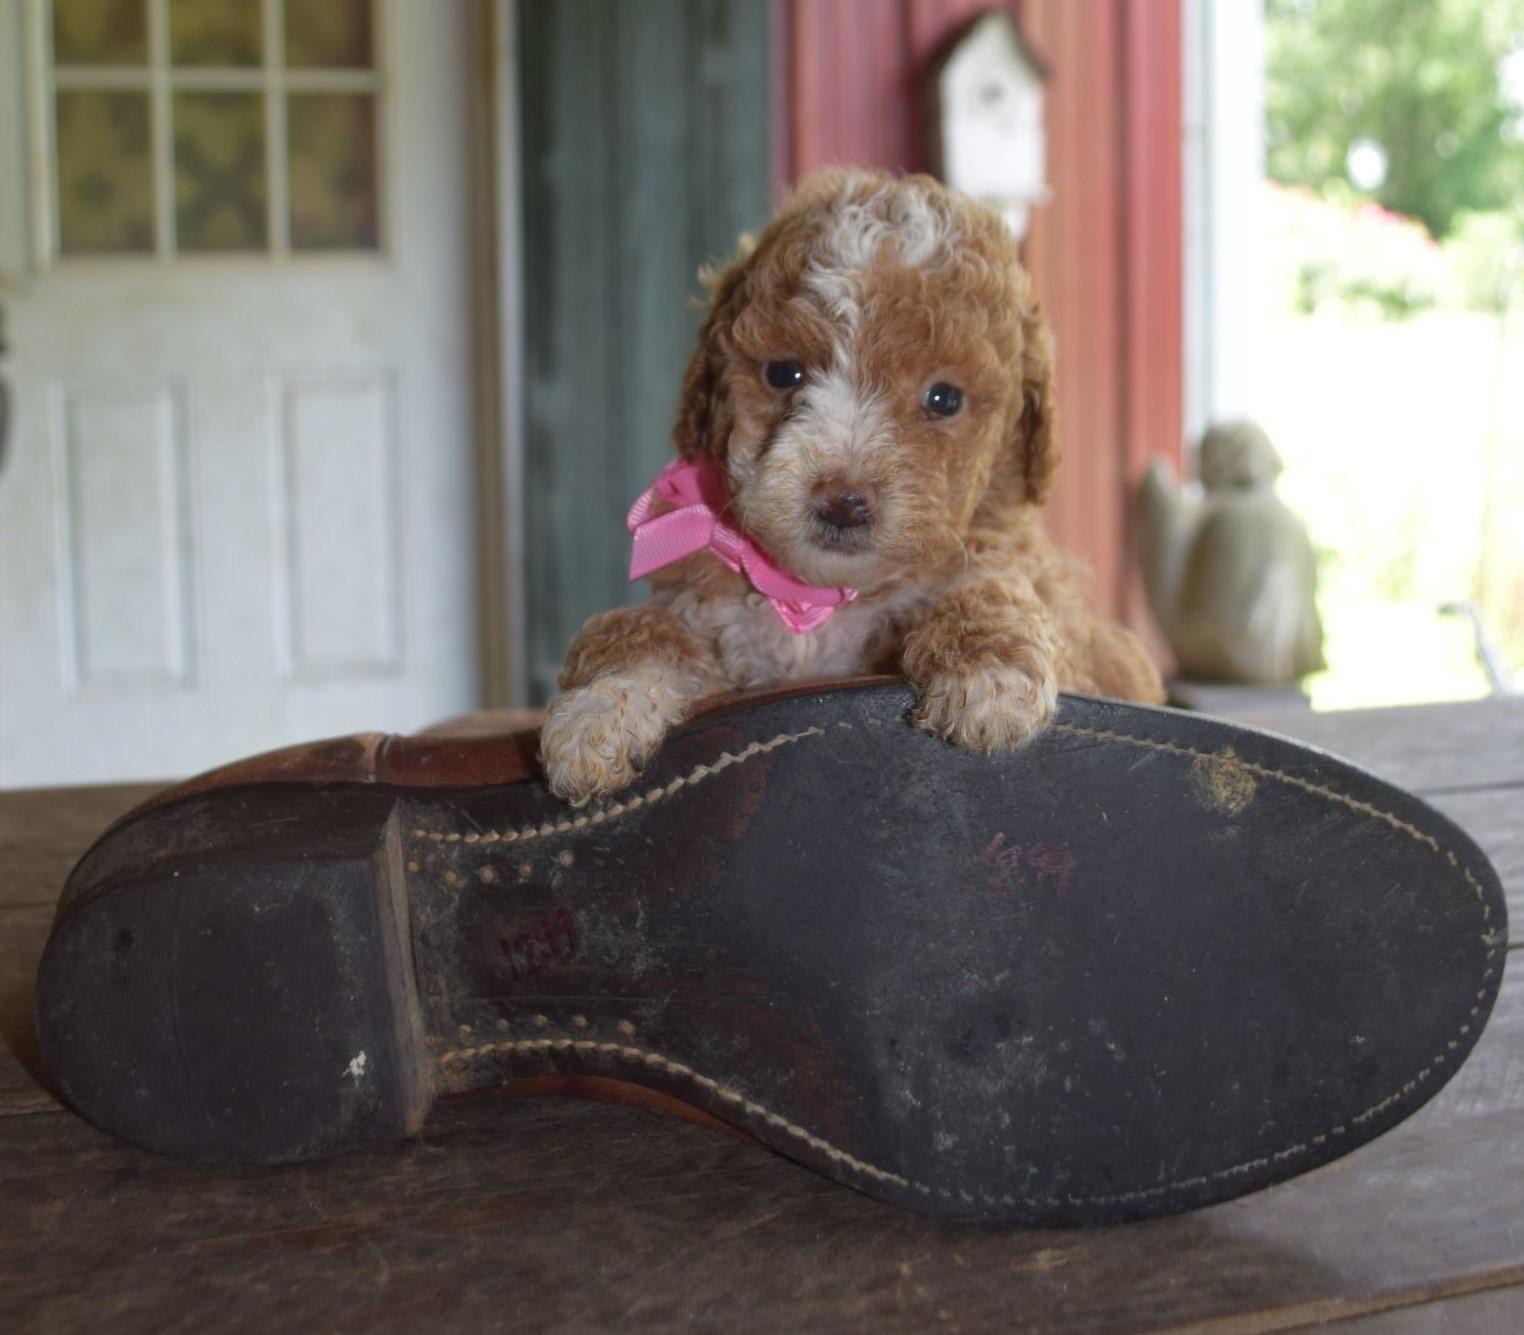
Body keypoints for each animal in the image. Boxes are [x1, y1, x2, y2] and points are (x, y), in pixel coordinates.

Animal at [540, 169, 1164, 805]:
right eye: (784, 372)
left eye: (944, 398)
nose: (842, 501)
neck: (817, 601)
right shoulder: (700, 609)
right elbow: (638, 628)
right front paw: (597, 712)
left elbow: (995, 583)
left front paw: (990, 674)